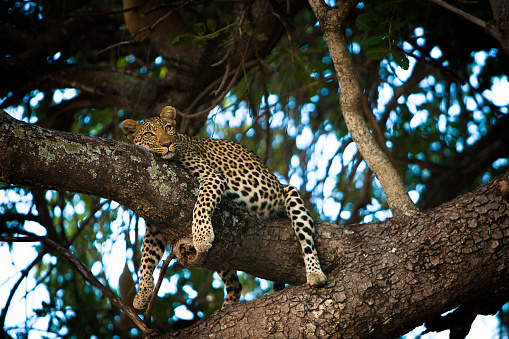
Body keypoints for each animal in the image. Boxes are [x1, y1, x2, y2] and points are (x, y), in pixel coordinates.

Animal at [120, 106, 326, 310]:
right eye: (149, 133)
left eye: (168, 128)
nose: (168, 143)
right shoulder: (155, 224)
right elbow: (147, 255)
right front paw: (143, 292)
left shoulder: (212, 177)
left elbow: (201, 204)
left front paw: (201, 236)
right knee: (235, 285)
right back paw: (226, 309)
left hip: (290, 195)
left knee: (307, 242)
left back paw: (315, 274)